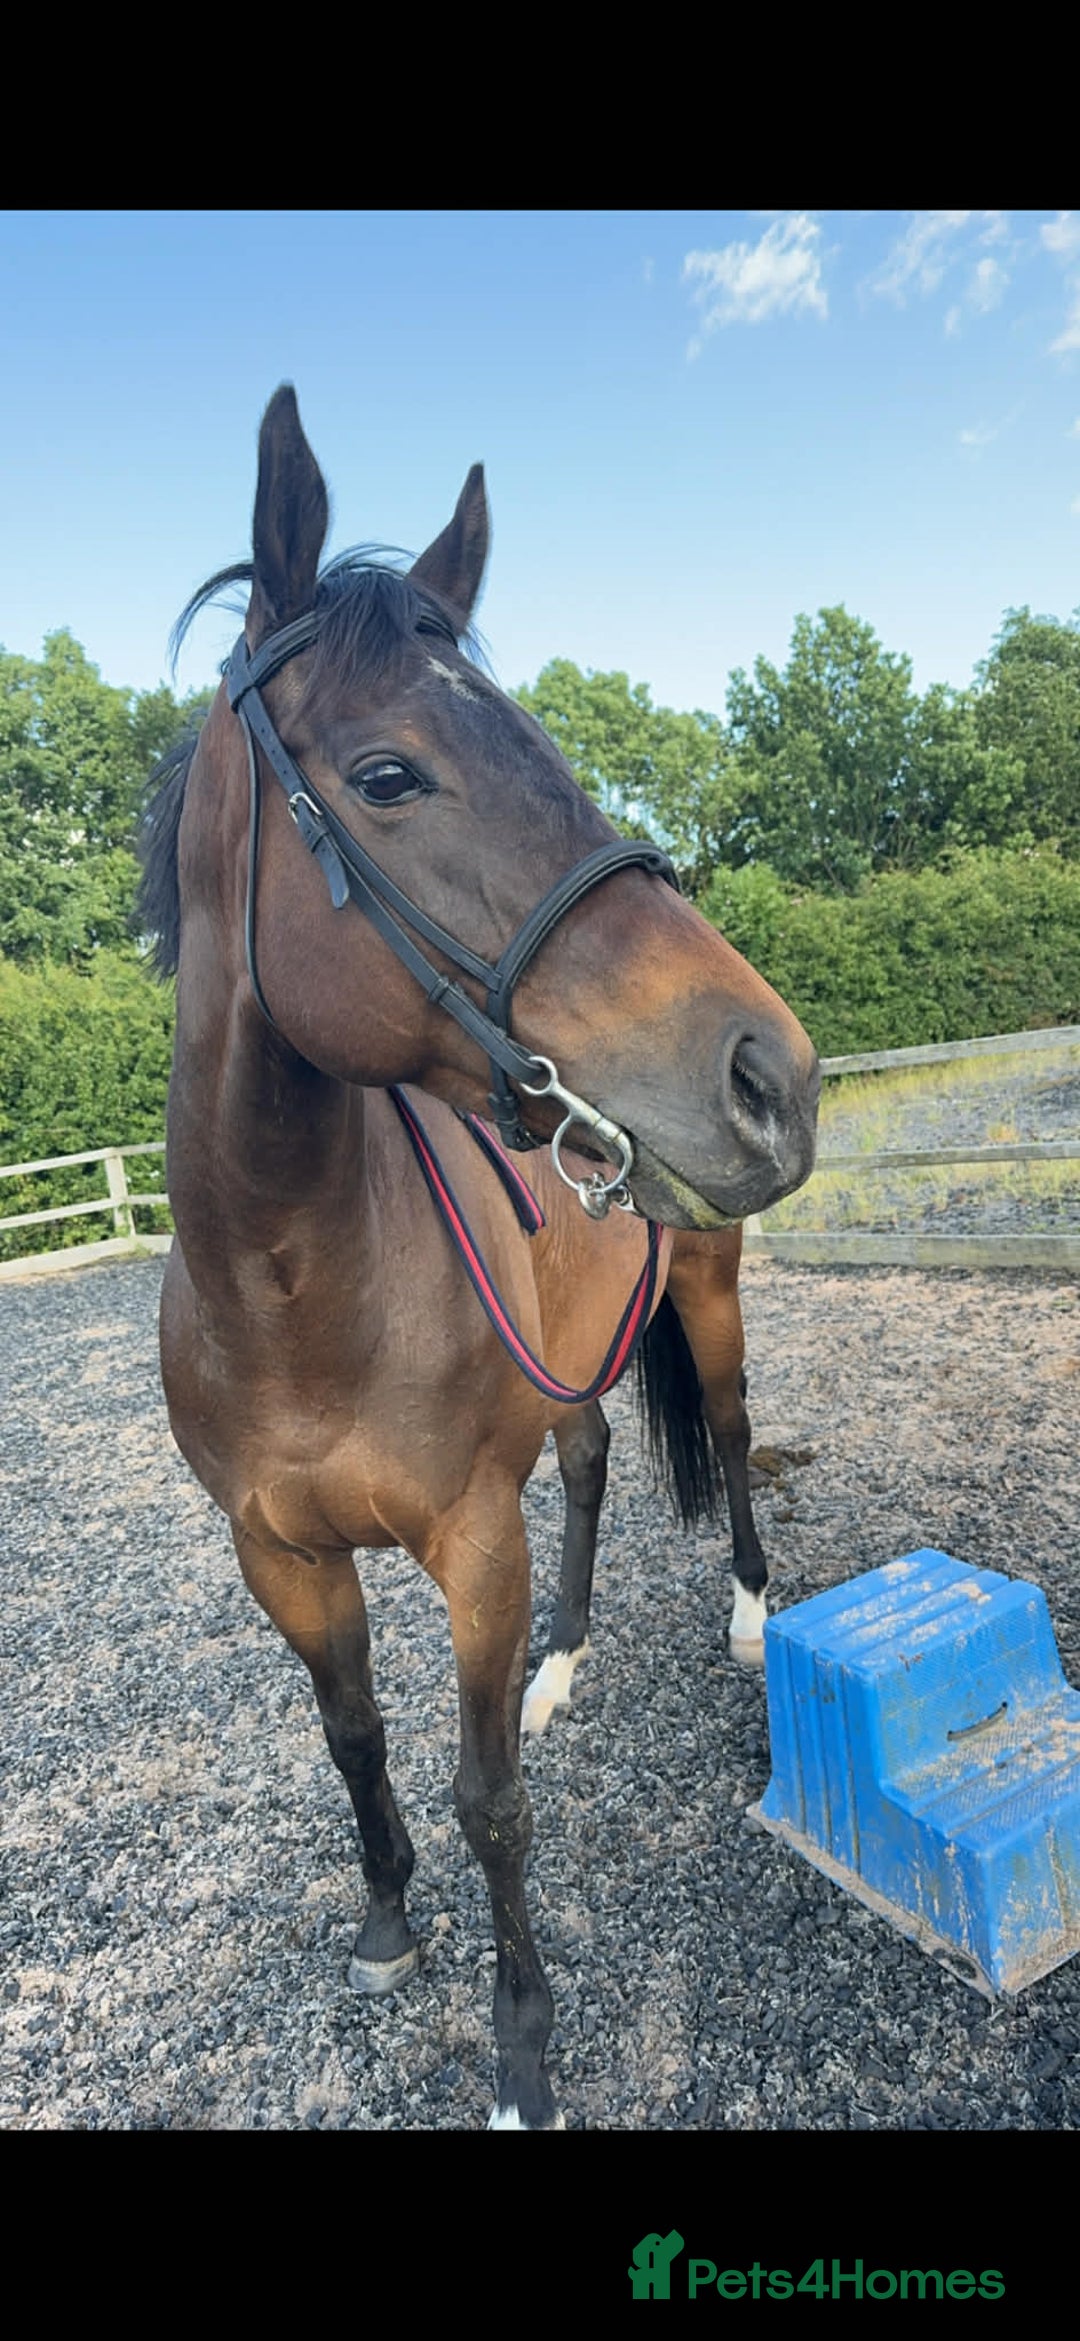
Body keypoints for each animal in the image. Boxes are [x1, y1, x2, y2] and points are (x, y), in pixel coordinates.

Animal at [140, 385, 819, 2130]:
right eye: (389, 775)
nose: (772, 1076)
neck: (293, 1294)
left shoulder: (468, 1542)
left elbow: (488, 1799)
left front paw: (523, 2052)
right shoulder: (281, 1556)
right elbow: (356, 1739)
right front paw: (387, 1923)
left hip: (707, 1292)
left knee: (724, 1428)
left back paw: (745, 1619)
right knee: (586, 1462)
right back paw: (568, 1667)